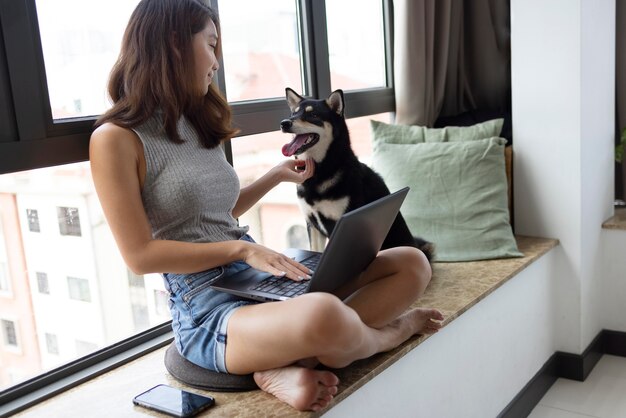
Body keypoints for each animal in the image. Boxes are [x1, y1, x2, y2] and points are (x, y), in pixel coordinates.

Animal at [280, 87, 432, 262]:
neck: (322, 170)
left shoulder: (342, 220)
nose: (284, 123)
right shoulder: (312, 224)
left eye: (313, 115)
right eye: (293, 113)